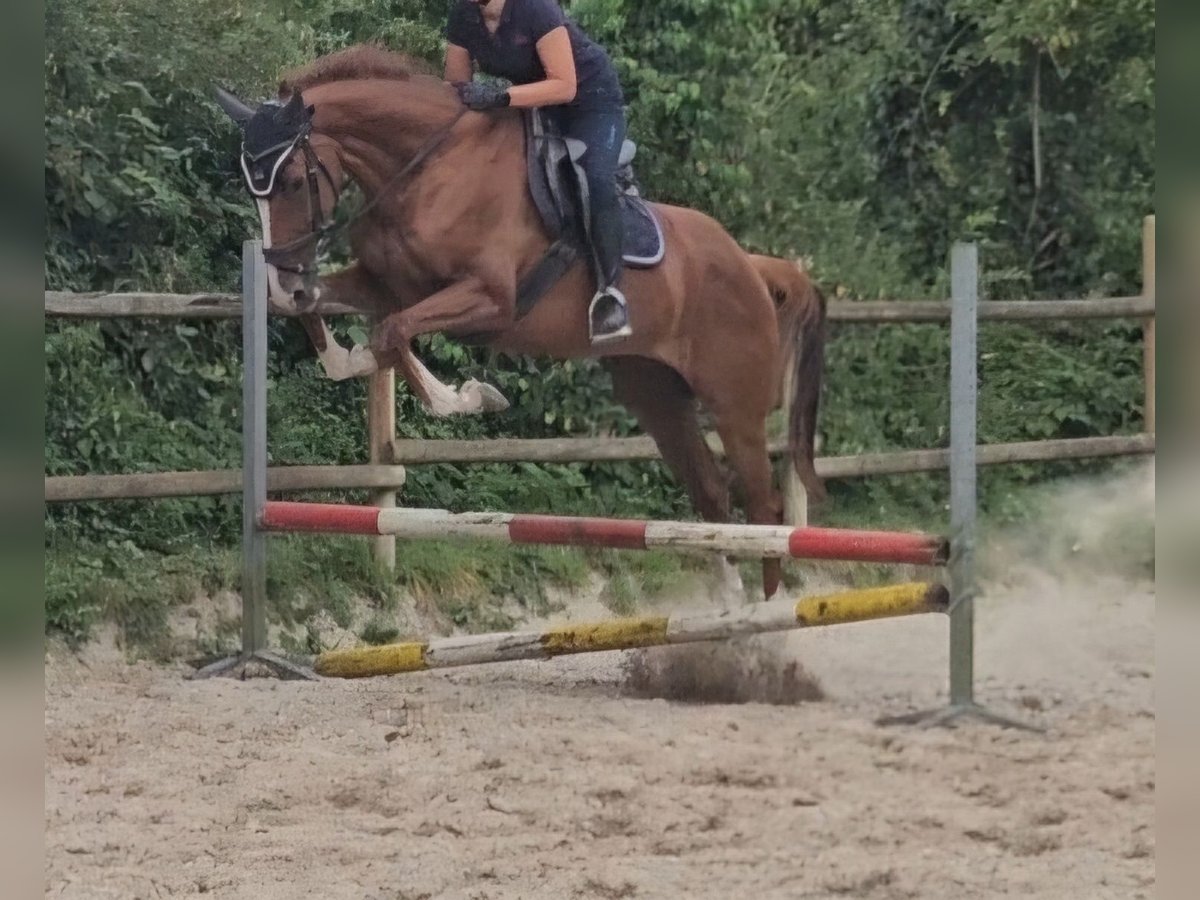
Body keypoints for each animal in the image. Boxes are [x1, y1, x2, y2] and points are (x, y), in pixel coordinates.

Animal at [218, 47, 825, 600]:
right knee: (712, 496)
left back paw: (767, 625)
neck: (426, 170)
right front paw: (347, 351)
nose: (286, 278)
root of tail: (754, 266)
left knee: (764, 507)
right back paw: (730, 611)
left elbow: (391, 333)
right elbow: (333, 319)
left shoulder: (489, 299)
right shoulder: (384, 284)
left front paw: (468, 396)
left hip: (734, 405)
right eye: (253, 188)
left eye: (293, 181)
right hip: (658, 398)